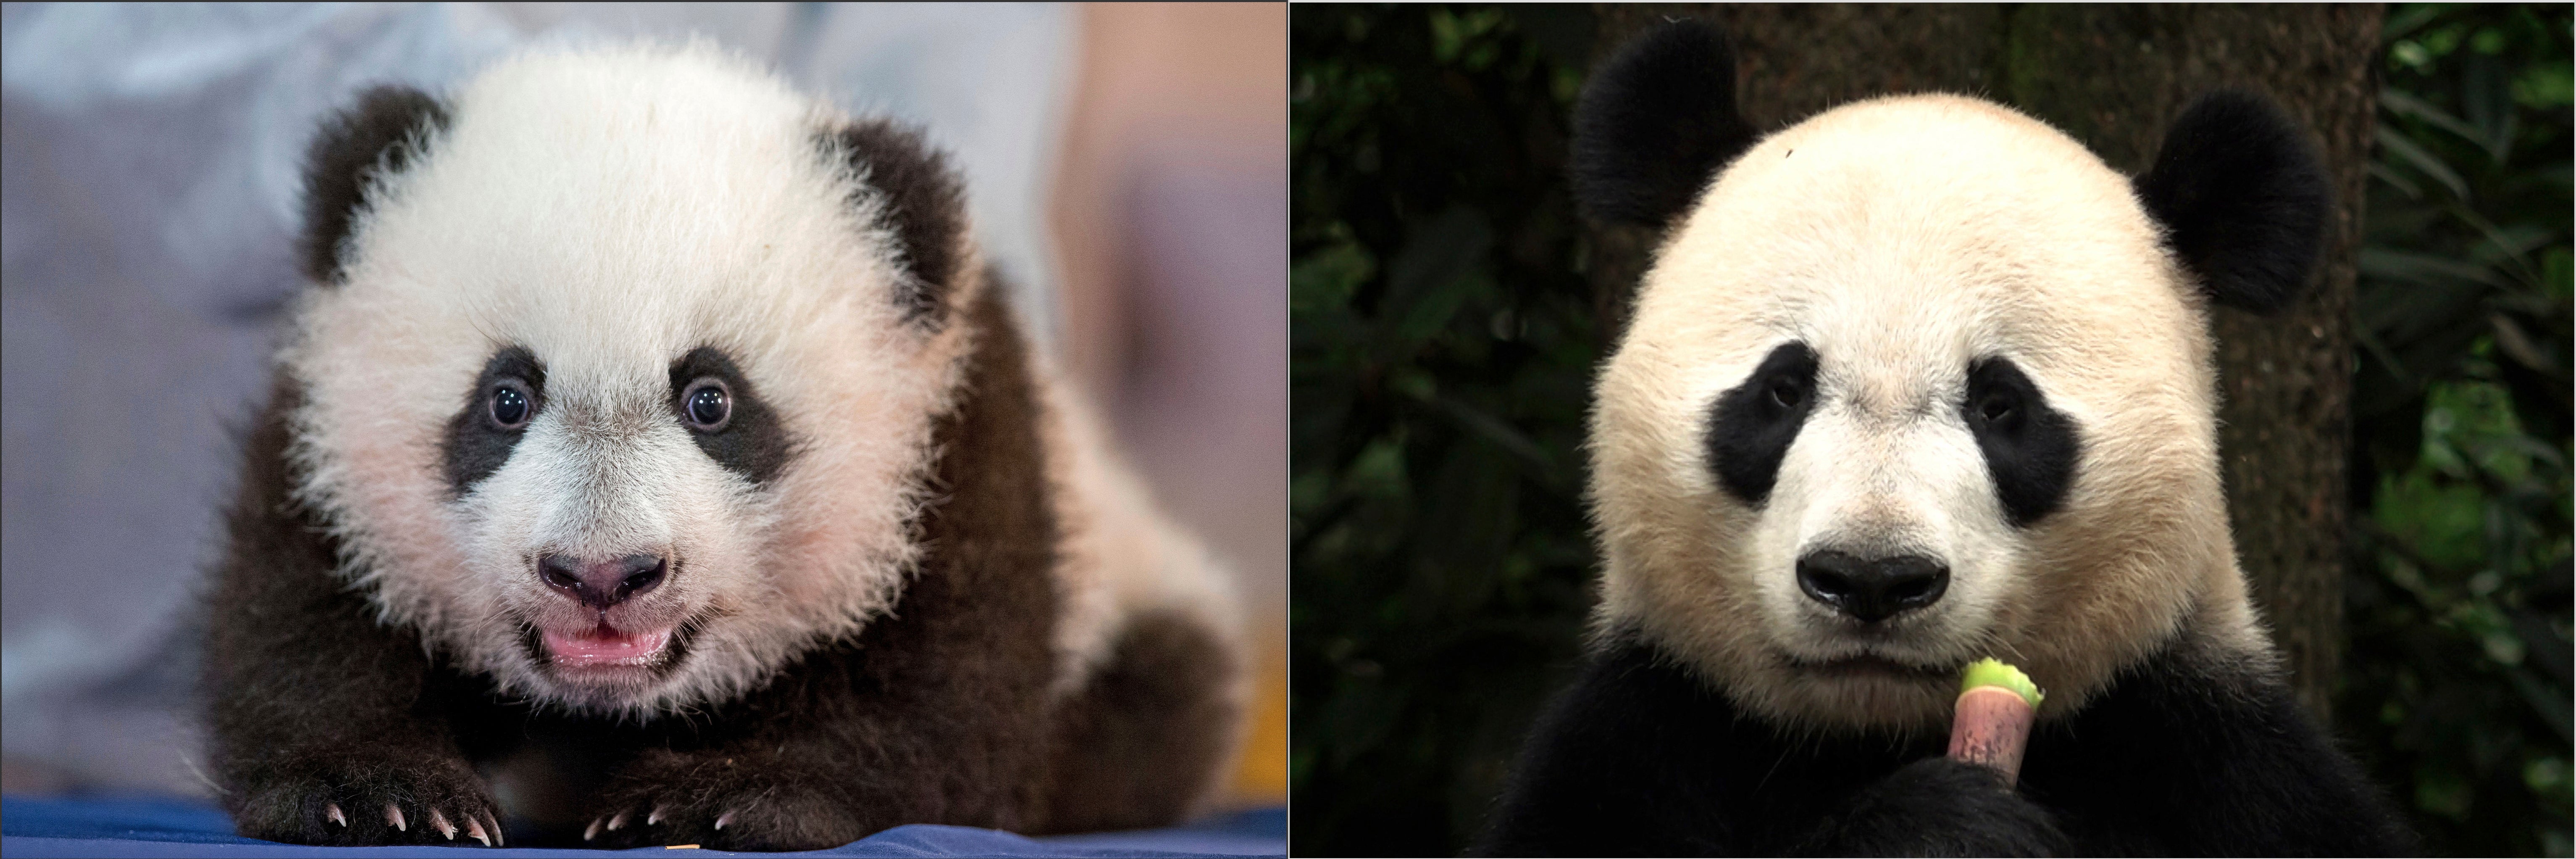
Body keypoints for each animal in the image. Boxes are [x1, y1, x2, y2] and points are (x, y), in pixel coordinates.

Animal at [202, 42, 1246, 851]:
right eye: (505, 399)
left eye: (712, 400)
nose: (603, 575)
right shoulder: (322, 434)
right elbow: (301, 610)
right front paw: (379, 790)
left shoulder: (961, 434)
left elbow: (943, 685)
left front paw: (714, 795)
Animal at [1476, 21, 2414, 856]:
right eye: (1783, 389)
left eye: (2000, 405)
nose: (1871, 578)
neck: (1875, 735)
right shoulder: (1646, 733)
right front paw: (1943, 828)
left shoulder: (2219, 759)